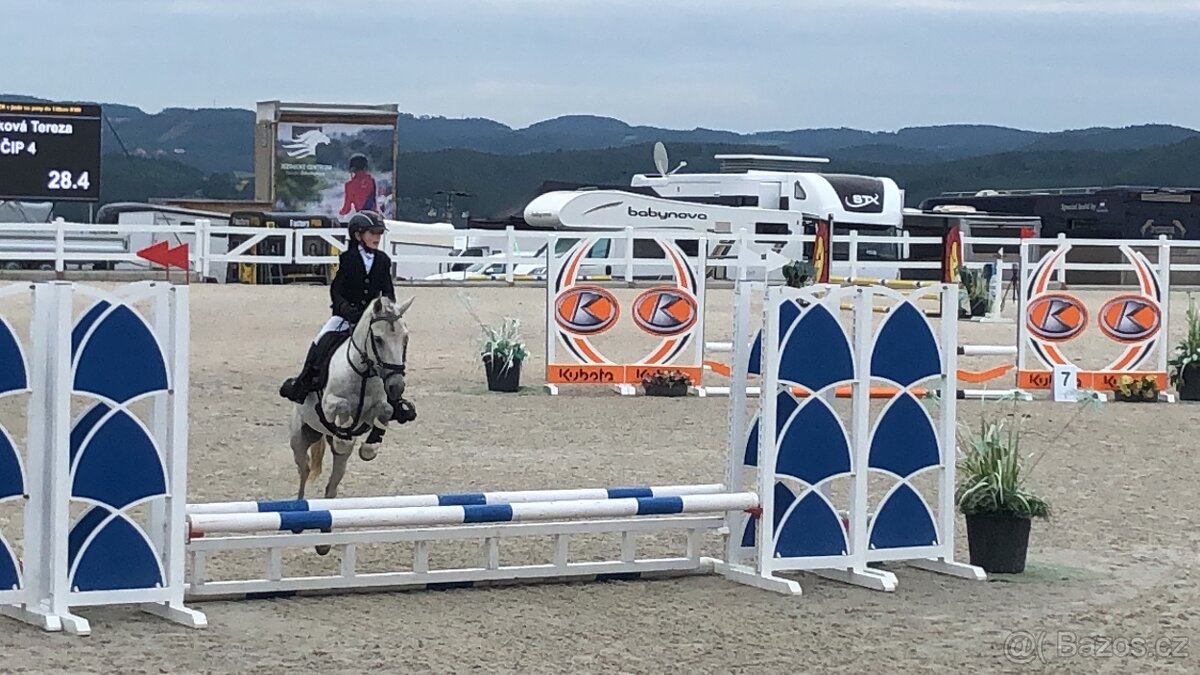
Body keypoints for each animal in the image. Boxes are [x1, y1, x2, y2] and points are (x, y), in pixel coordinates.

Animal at [287, 295, 413, 553]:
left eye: (405, 338)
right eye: (378, 339)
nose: (396, 386)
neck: (364, 372)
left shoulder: (379, 407)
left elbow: (385, 411)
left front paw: (369, 448)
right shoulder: (328, 404)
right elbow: (342, 407)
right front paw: (344, 435)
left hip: (340, 462)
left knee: (331, 488)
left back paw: (324, 543)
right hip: (300, 439)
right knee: (304, 472)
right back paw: (298, 519)